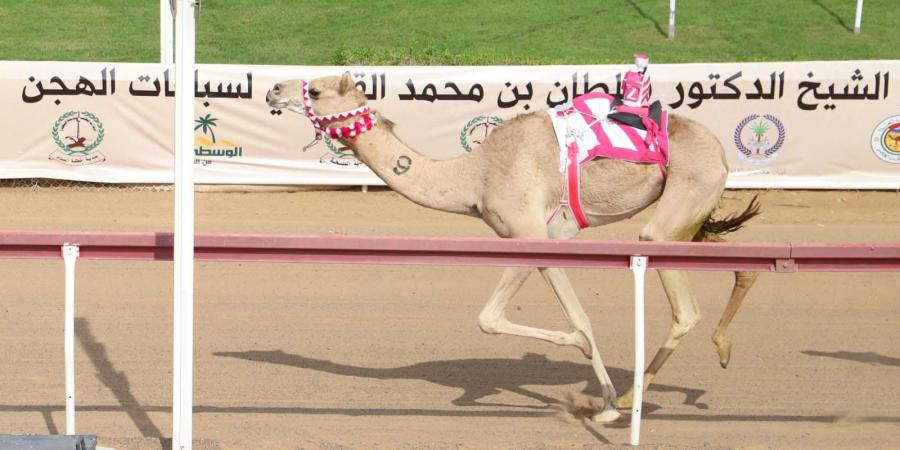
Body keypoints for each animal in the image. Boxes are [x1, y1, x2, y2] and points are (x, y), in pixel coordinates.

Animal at [266, 72, 760, 424]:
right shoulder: (546, 239)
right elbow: (562, 316)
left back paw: (626, 398)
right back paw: (718, 353)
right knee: (741, 265)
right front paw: (591, 375)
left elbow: (511, 319)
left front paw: (599, 397)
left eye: (317, 88)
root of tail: (720, 149)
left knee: (685, 308)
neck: (474, 177)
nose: (272, 88)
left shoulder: (529, 233)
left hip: (682, 198)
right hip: (690, 214)